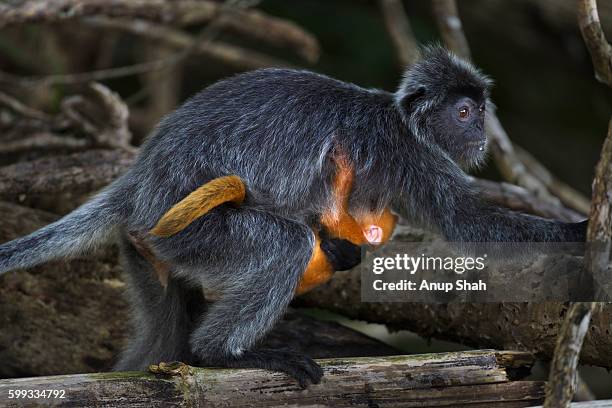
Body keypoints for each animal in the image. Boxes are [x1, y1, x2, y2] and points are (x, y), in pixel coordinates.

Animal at [0, 46, 588, 388]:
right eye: (464, 113)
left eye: (480, 112)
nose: (481, 134)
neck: (397, 118)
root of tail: (140, 181)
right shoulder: (407, 151)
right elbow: (470, 225)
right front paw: (581, 231)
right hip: (191, 232)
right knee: (284, 246)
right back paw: (222, 356)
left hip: (148, 251)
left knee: (161, 337)